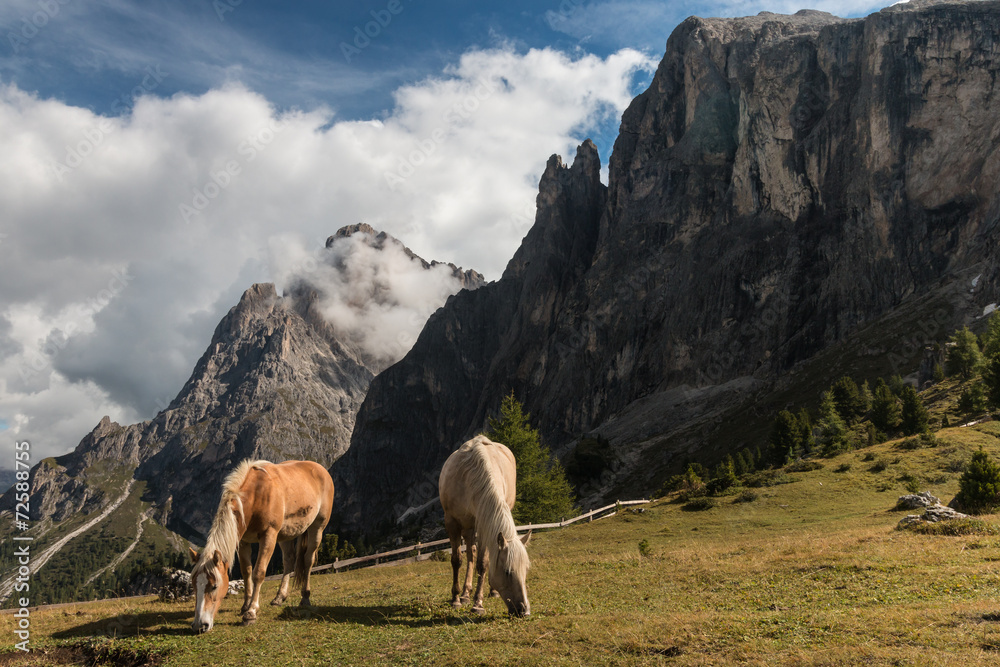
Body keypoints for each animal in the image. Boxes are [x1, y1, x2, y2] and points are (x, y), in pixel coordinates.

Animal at [189, 459, 335, 633]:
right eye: (194, 585)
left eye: (214, 586)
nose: (199, 626)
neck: (256, 495)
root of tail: (319, 468)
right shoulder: (243, 541)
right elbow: (246, 572)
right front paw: (245, 606)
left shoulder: (269, 535)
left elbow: (258, 572)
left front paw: (251, 613)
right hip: (285, 535)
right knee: (289, 561)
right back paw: (279, 597)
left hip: (317, 528)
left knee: (308, 560)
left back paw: (305, 598)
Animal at [438, 434, 531, 617]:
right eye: (507, 571)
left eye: (525, 570)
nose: (524, 611)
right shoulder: (451, 522)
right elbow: (456, 560)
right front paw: (456, 599)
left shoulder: (484, 527)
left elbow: (483, 563)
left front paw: (478, 604)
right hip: (467, 527)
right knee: (469, 555)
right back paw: (464, 595)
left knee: (474, 555)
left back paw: (486, 592)